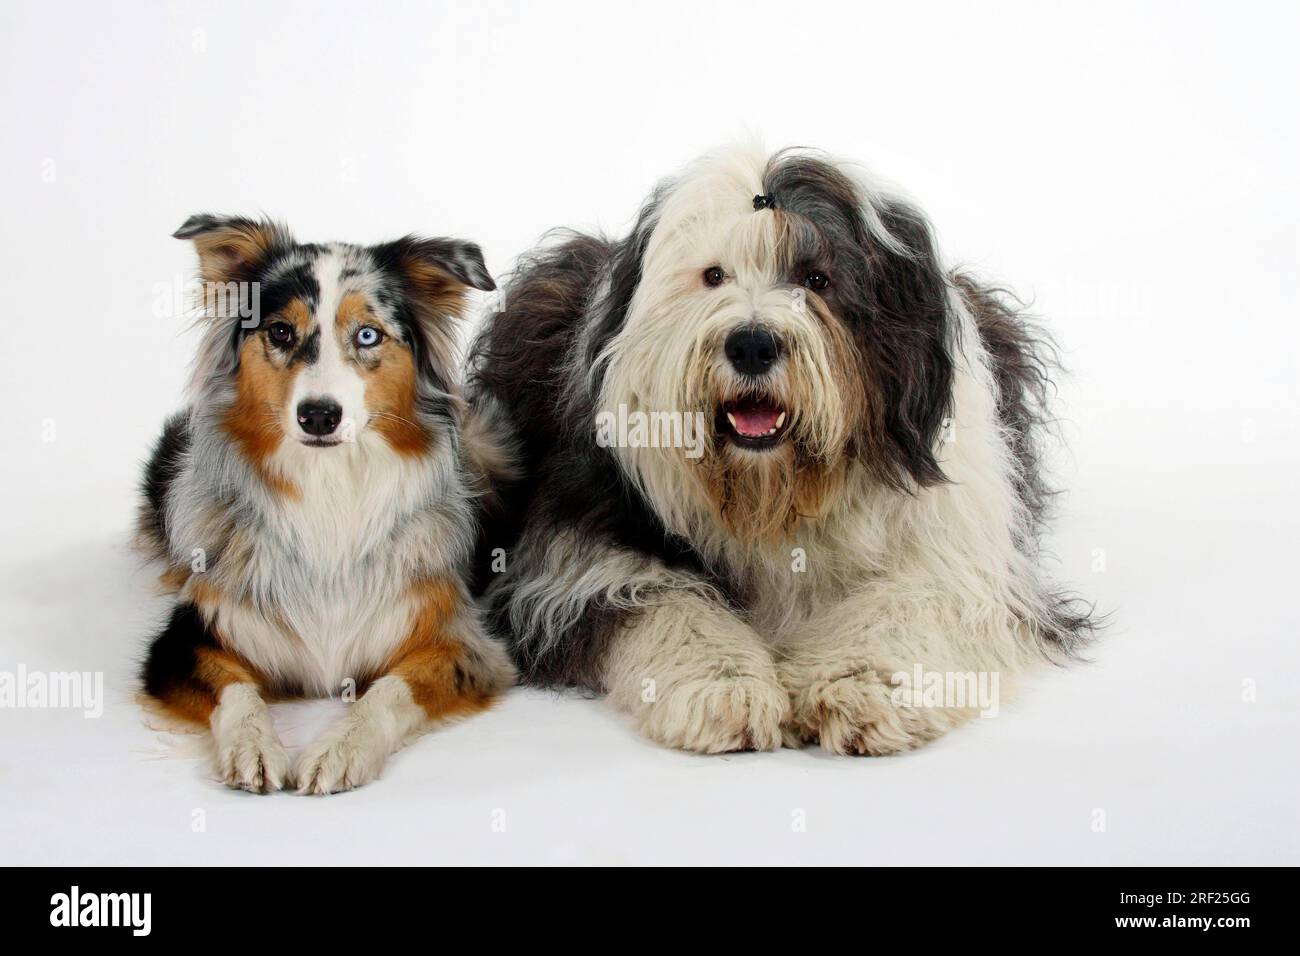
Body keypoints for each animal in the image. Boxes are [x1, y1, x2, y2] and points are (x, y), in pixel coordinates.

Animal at [135, 214, 512, 790]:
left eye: (367, 334)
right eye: (280, 332)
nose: (318, 415)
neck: (330, 488)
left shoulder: (462, 642)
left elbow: (387, 693)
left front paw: (340, 750)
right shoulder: (184, 641)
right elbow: (237, 692)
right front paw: (253, 747)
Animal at [470, 143, 1097, 754]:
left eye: (818, 280)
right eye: (714, 276)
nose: (751, 344)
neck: (774, 497)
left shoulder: (962, 557)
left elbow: (912, 601)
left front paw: (860, 687)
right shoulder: (580, 559)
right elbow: (667, 604)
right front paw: (727, 690)